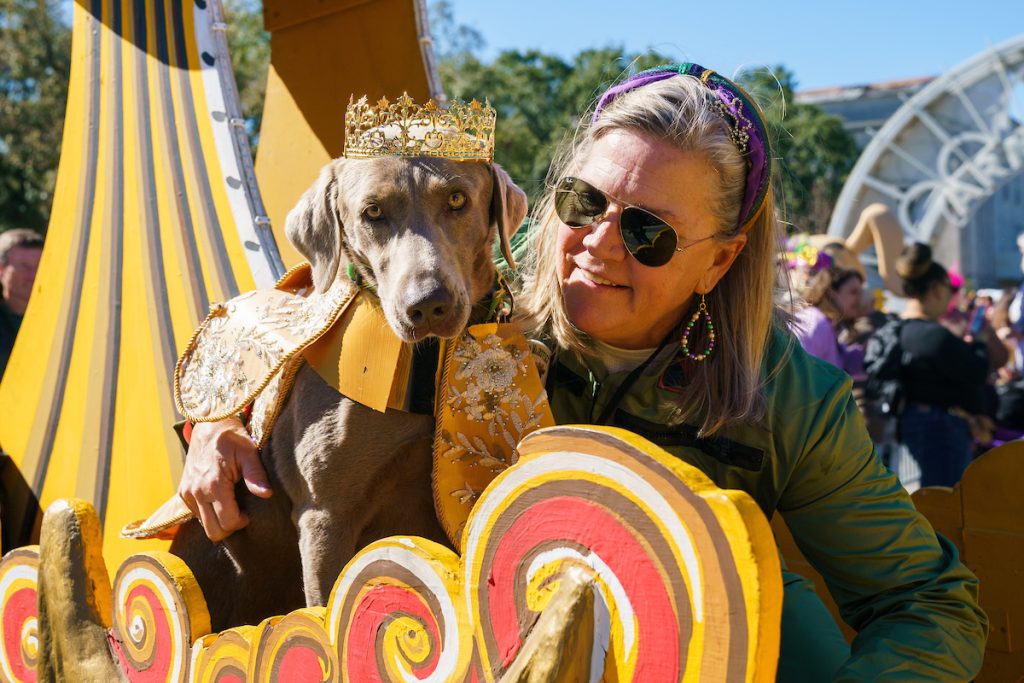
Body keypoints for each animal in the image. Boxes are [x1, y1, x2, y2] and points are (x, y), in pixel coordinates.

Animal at [168, 154, 528, 630]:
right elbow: (324, 612)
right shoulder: (325, 514)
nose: (428, 304)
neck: (425, 367)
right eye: (372, 211)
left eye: (456, 199)